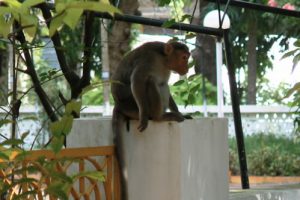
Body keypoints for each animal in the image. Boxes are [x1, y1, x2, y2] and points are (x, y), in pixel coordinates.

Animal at [111, 41, 191, 200]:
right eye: (184, 57)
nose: (187, 67)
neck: (163, 59)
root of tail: (119, 105)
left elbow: (164, 83)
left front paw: (179, 112)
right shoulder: (148, 60)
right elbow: (137, 81)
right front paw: (143, 118)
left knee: (162, 84)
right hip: (131, 106)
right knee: (150, 81)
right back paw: (159, 117)